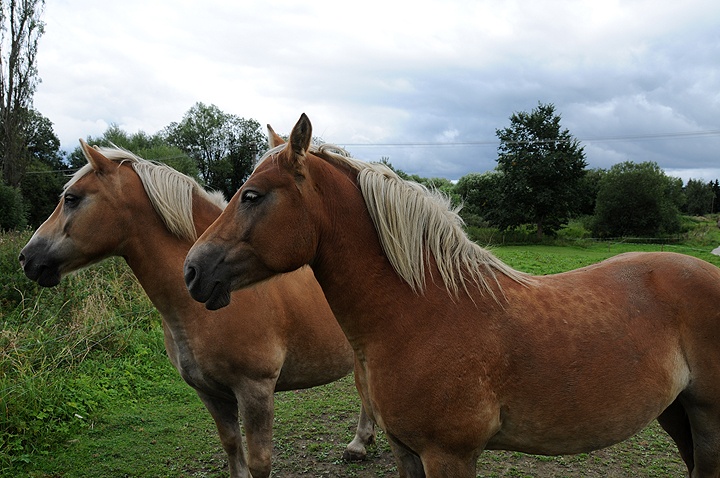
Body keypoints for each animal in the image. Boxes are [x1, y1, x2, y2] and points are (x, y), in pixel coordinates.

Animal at [19, 140, 374, 478]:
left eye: (72, 199)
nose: (27, 258)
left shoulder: (256, 391)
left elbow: (259, 463)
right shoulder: (210, 394)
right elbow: (232, 449)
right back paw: (361, 441)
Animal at [187, 114, 720, 476]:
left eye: (252, 195)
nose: (193, 270)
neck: (424, 314)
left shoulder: (449, 455)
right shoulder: (407, 450)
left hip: (707, 417)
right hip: (676, 414)